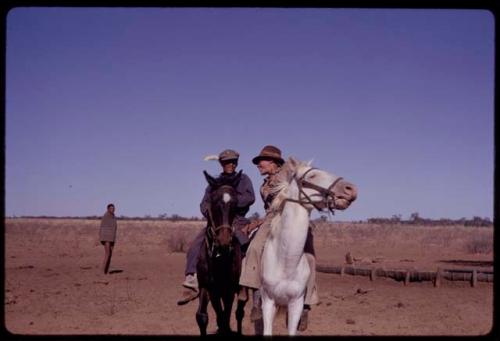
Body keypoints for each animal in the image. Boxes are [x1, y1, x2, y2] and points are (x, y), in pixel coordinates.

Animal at [197, 169, 248, 334]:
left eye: (235, 204)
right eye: (213, 202)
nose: (224, 242)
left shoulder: (228, 291)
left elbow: (225, 319)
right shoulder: (208, 288)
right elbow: (203, 317)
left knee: (239, 313)